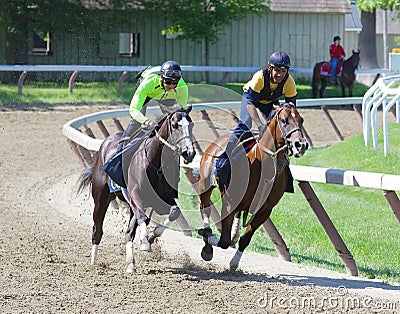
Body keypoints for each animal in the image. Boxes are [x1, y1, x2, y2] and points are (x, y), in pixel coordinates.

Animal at [77, 106, 195, 272]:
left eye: (191, 125)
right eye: (175, 125)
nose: (189, 153)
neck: (156, 164)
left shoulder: (161, 201)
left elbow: (173, 212)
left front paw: (151, 237)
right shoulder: (136, 196)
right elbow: (143, 218)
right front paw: (145, 241)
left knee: (128, 232)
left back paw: (130, 263)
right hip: (101, 199)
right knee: (97, 228)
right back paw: (94, 261)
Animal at [198, 103, 310, 270]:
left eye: (301, 120)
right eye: (284, 121)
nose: (301, 145)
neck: (263, 165)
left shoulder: (264, 211)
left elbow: (244, 239)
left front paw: (234, 263)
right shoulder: (230, 202)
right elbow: (223, 241)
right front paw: (208, 238)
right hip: (204, 185)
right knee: (204, 208)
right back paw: (207, 237)